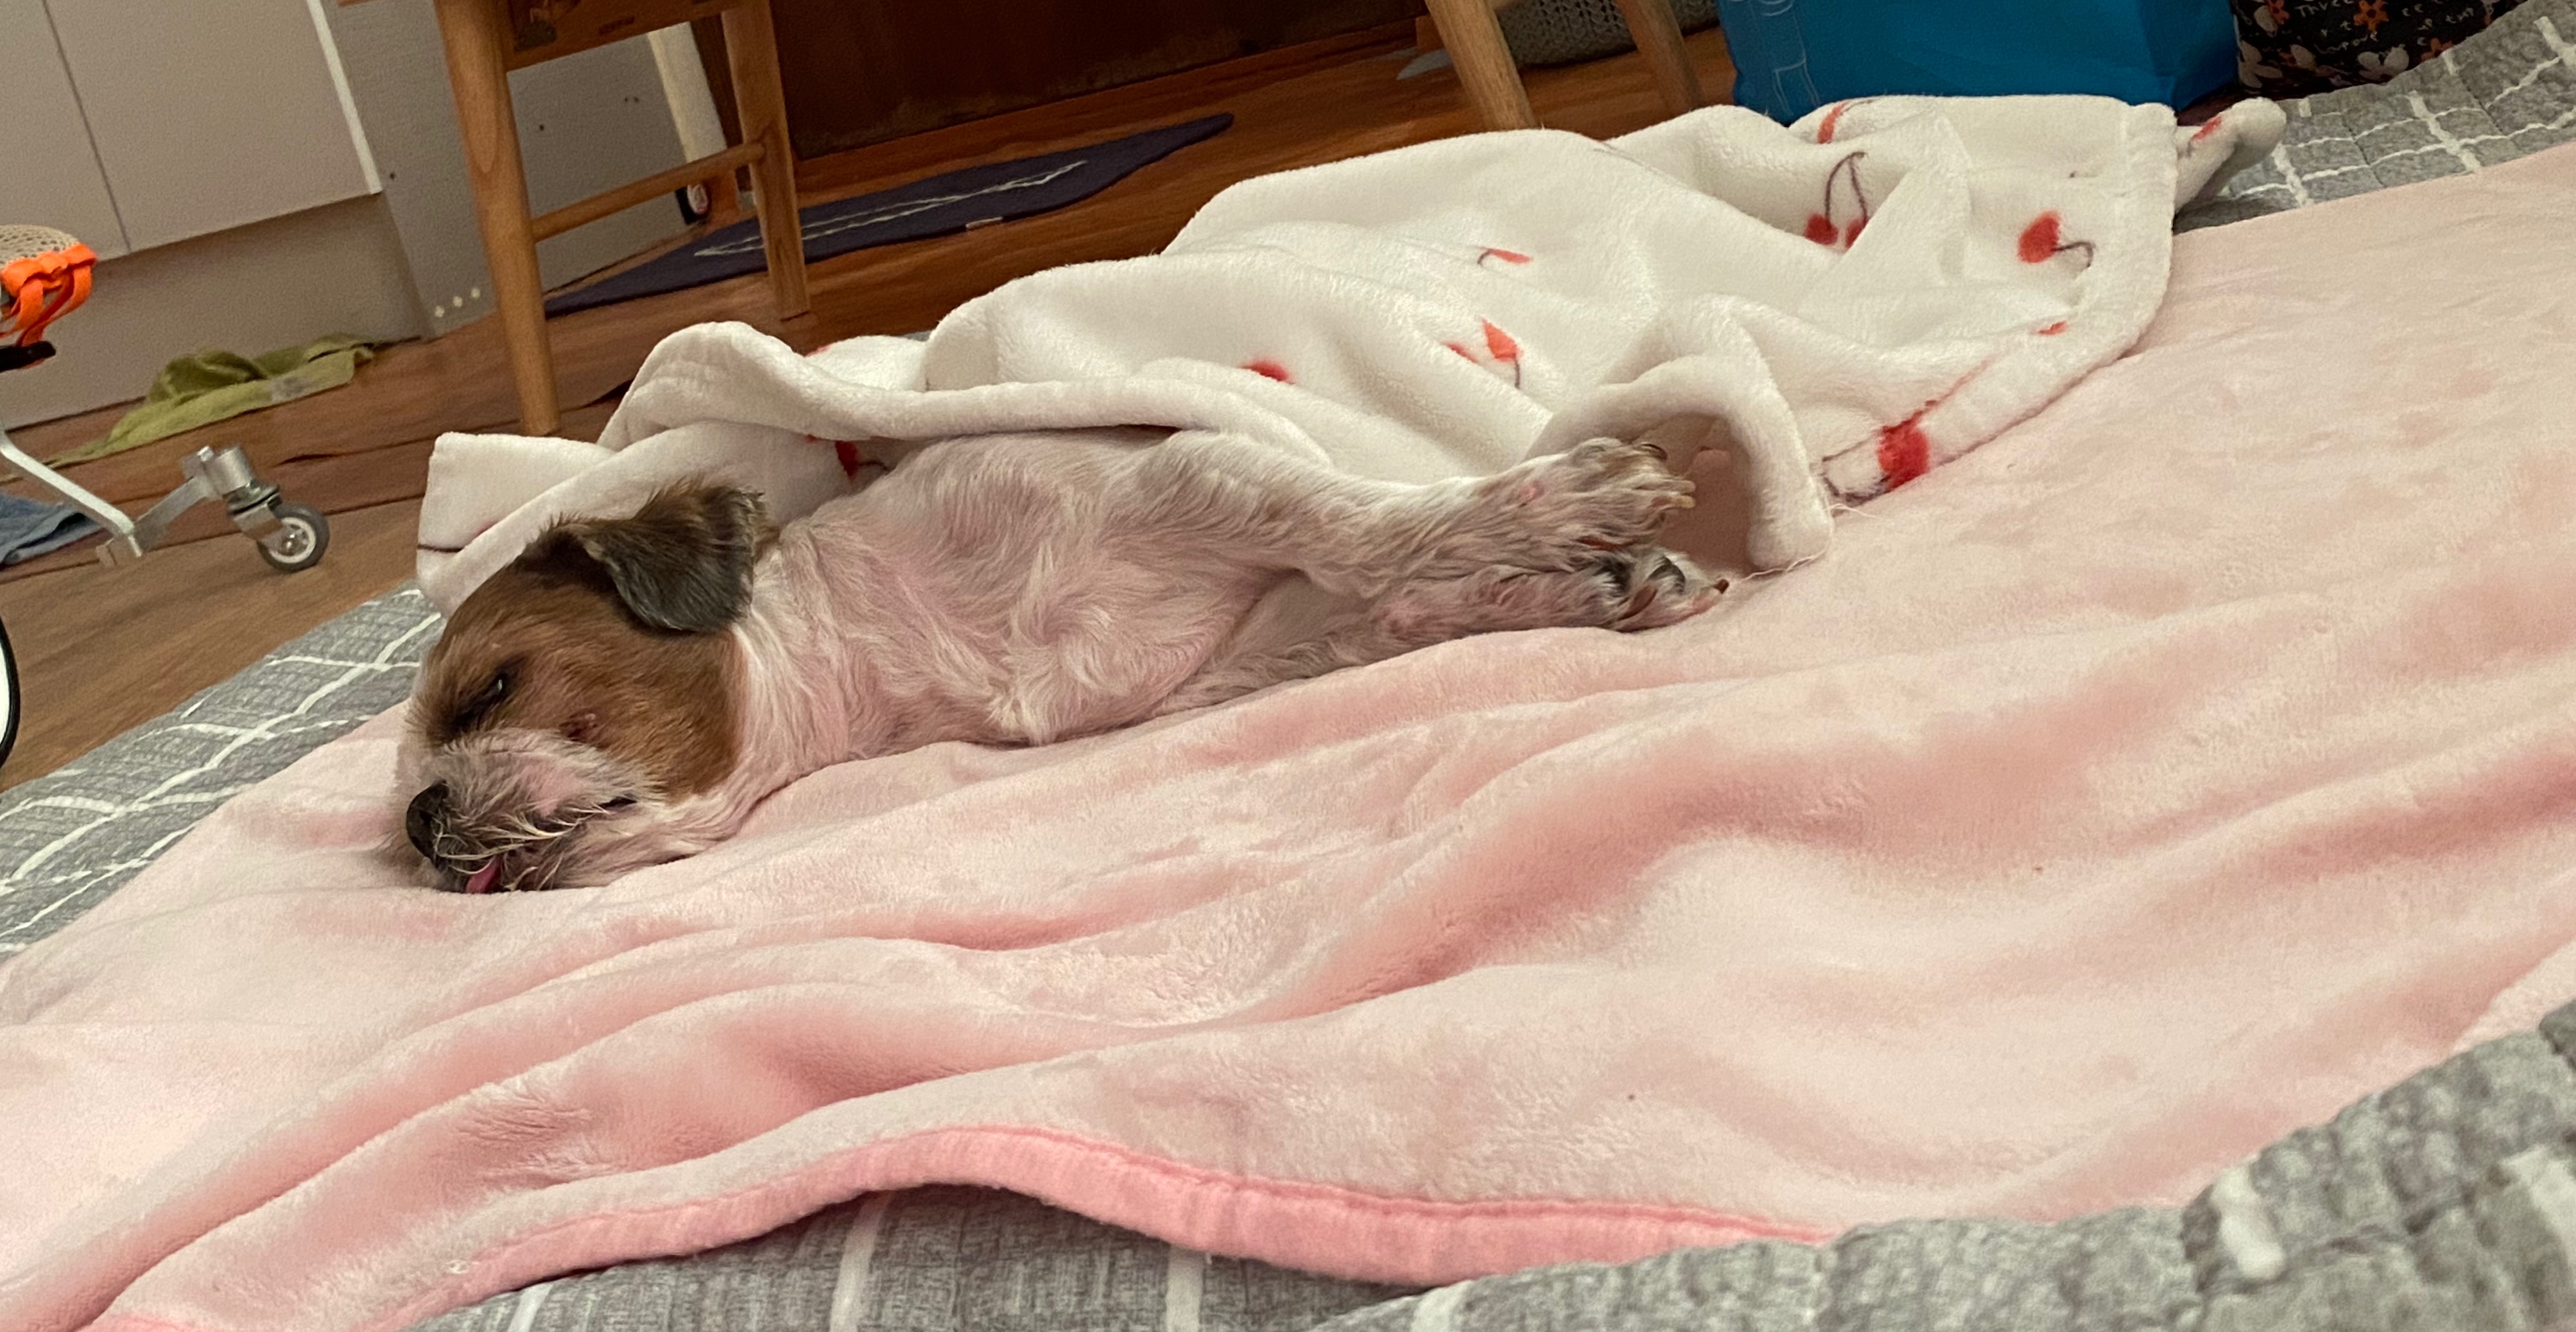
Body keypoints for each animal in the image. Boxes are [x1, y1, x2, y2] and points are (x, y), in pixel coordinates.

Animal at [398, 431, 1720, 893]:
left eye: (494, 686)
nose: (416, 820)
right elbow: (1395, 606)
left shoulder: (1205, 474)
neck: (883, 630)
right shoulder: (1236, 657)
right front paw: (1564, 586)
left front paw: (1574, 505)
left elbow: (1369, 526)